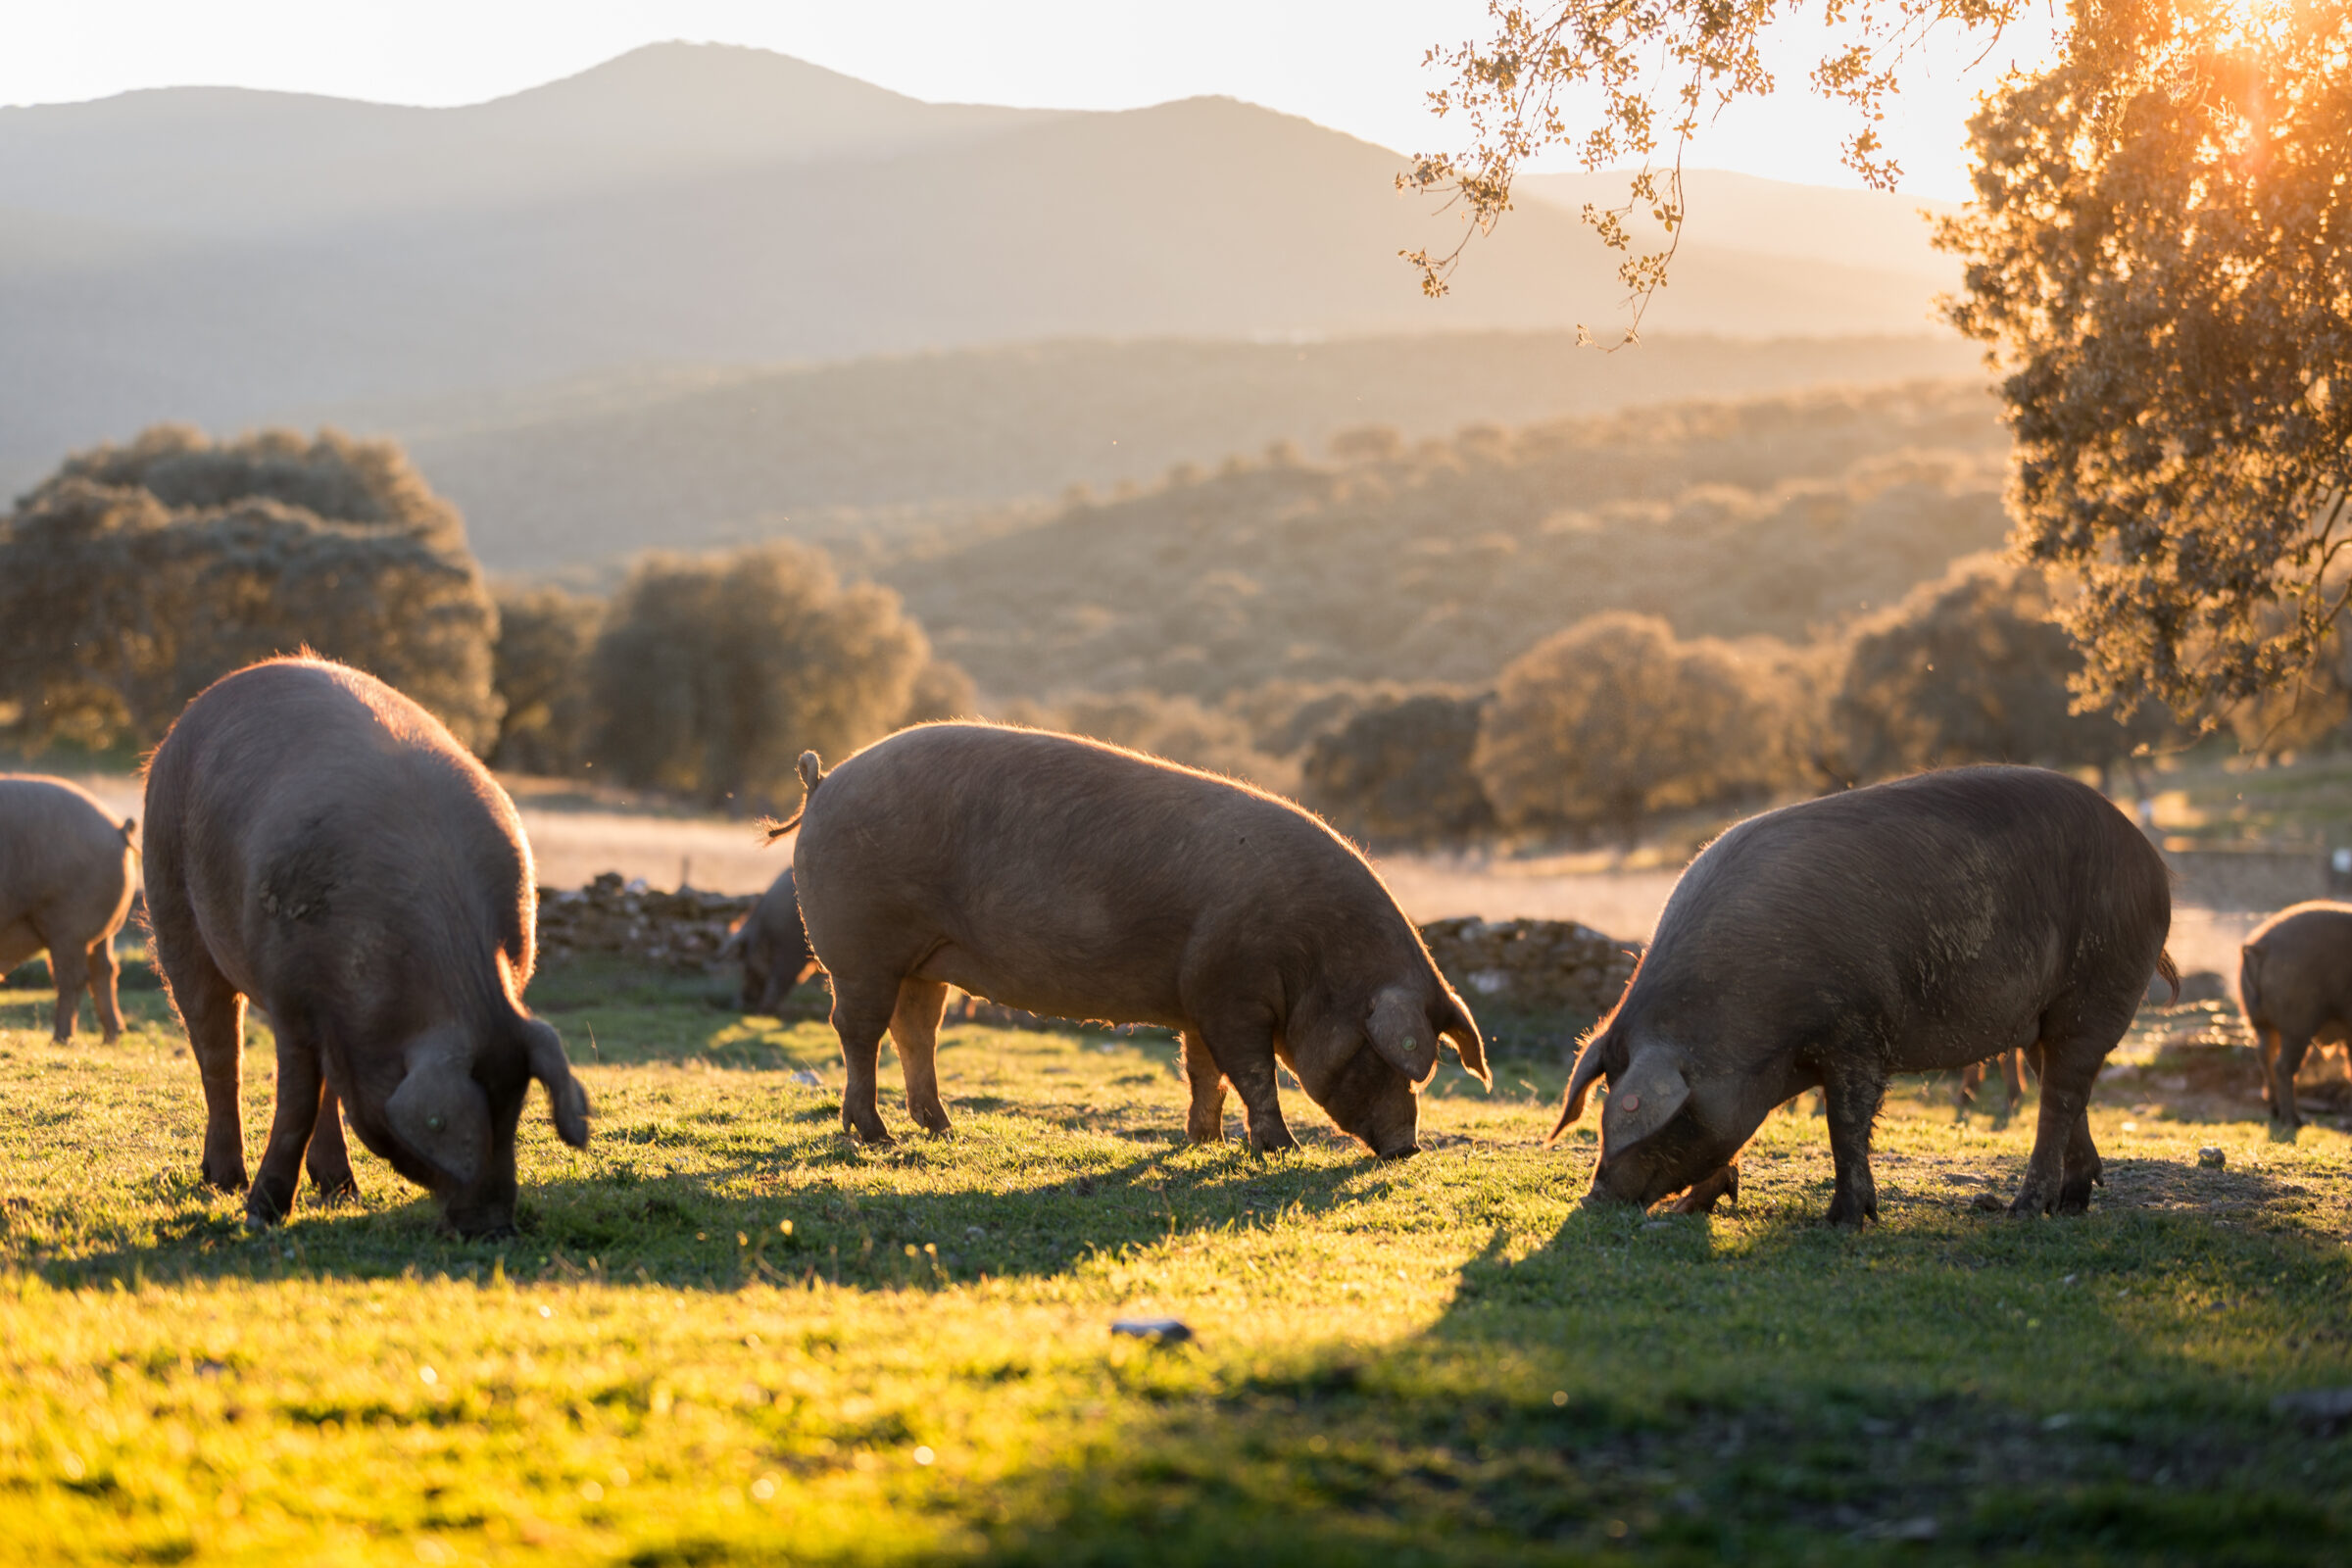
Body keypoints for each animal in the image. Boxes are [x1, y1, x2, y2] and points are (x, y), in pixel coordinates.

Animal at [0, 776, 139, 1043]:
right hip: (102, 931)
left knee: (72, 977)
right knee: (105, 969)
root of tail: (117, 829)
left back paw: (60, 1040)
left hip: (70, 925)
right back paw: (111, 1037)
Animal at [141, 657, 590, 1234]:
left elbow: (321, 1094)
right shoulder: (291, 996)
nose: (495, 1227)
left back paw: (340, 1190)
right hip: (171, 901)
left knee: (322, 1085)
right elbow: (295, 1103)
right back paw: (225, 1182)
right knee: (219, 1054)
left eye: (513, 1111)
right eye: (463, 1126)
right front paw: (260, 1216)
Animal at [769, 722, 1489, 1154]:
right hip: (859, 949)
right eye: (1381, 1055)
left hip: (924, 961)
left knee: (915, 1030)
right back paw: (876, 1137)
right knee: (858, 1031)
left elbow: (1204, 1072)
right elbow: (1252, 1071)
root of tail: (822, 781)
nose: (1407, 1148)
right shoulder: (1231, 992)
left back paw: (943, 1131)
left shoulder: (1198, 995)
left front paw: (1206, 1143)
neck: (1314, 956)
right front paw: (1281, 1148)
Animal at [1550, 766, 2175, 1223]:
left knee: (2062, 1094)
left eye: (1666, 1121)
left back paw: (2022, 1211)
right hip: (2043, 1017)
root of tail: (2152, 860)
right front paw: (1694, 1206)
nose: (1594, 1198)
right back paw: (2070, 1205)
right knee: (2063, 1087)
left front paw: (1845, 1220)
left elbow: (1845, 1124)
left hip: (2096, 987)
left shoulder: (1856, 1033)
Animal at [2237, 902, 2352, 1131]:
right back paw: (2294, 1121)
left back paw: (2276, 1112)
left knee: (2264, 1054)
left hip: (2261, 1023)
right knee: (2283, 1066)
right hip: (2297, 1025)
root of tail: (2261, 948)